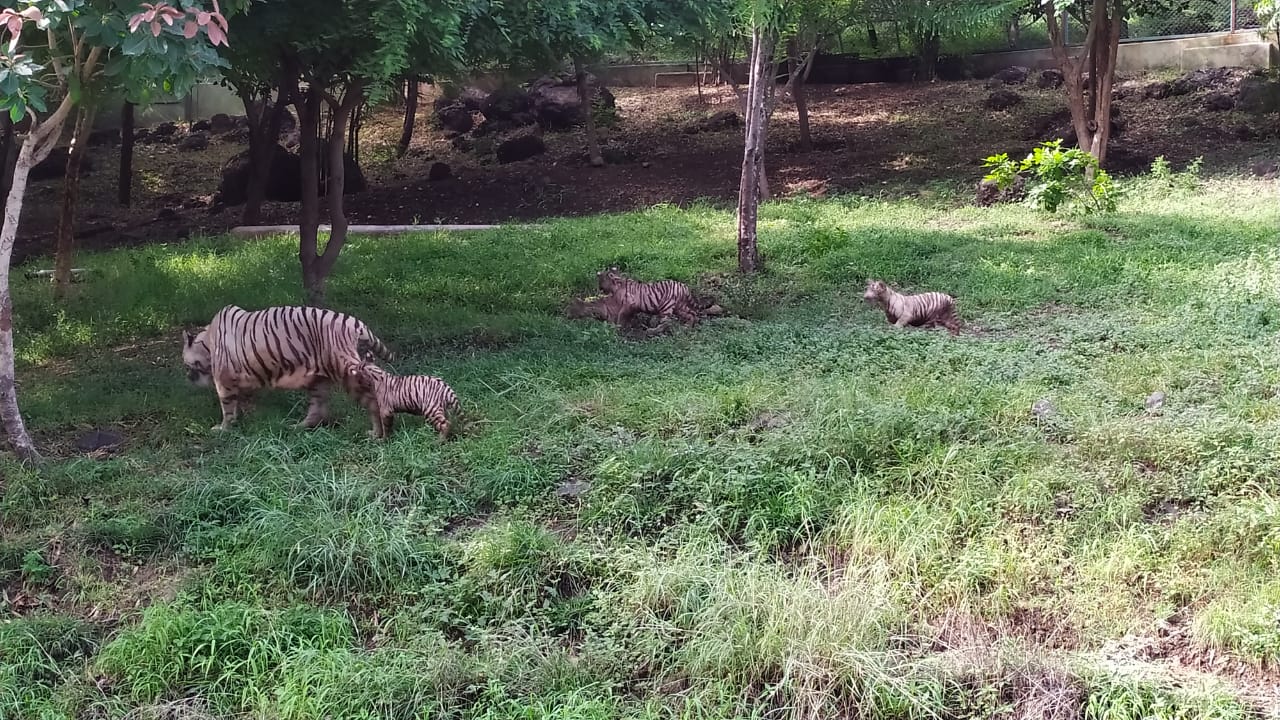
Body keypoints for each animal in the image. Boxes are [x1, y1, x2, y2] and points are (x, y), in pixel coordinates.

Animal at [177, 301, 391, 427]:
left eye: (187, 365)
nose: (187, 377)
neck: (208, 342)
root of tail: (353, 321)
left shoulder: (223, 379)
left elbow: (227, 406)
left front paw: (224, 428)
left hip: (345, 367)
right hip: (319, 378)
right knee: (317, 408)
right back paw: (299, 427)